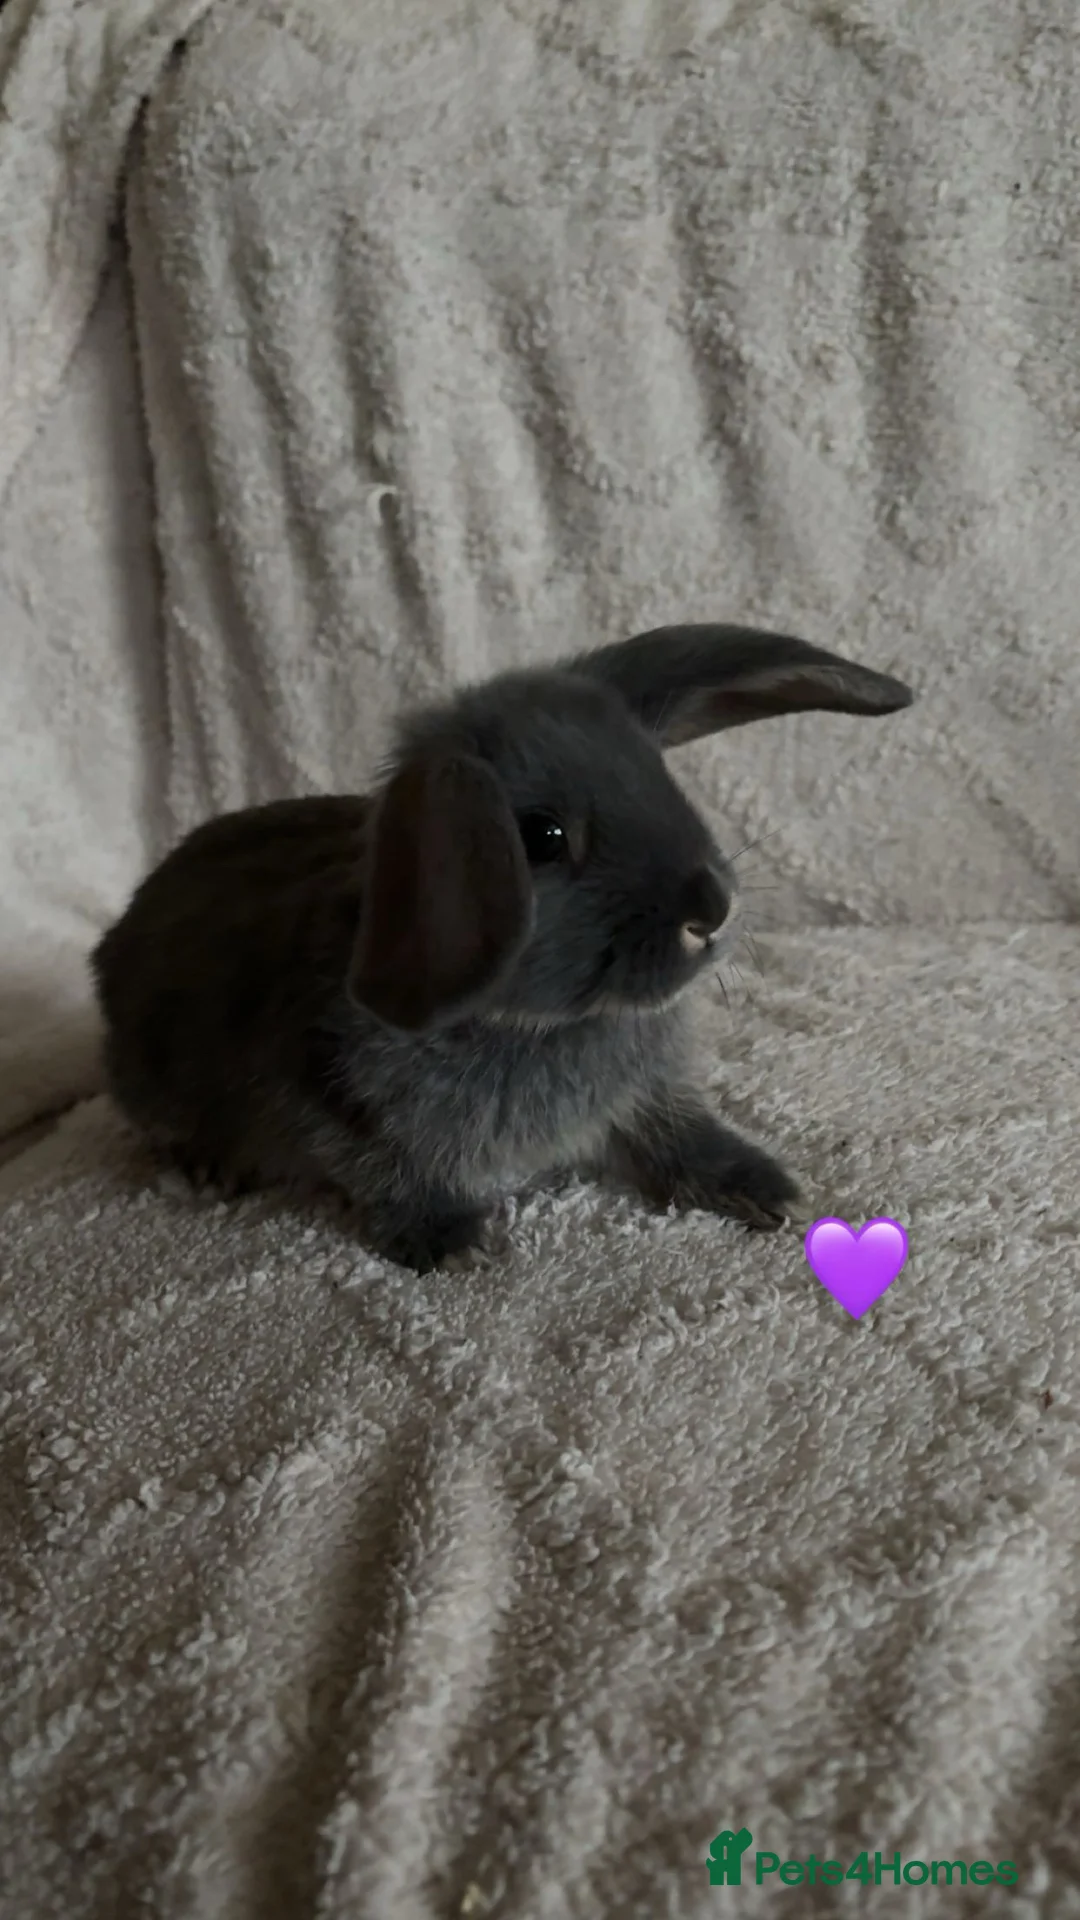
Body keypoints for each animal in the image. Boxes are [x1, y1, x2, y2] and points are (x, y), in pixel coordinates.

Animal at [92, 625, 913, 1273]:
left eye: (659, 776)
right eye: (542, 837)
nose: (711, 910)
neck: (530, 1023)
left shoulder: (649, 1097)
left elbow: (678, 1133)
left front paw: (763, 1188)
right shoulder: (326, 1099)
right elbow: (384, 1173)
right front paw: (452, 1242)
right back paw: (205, 1168)